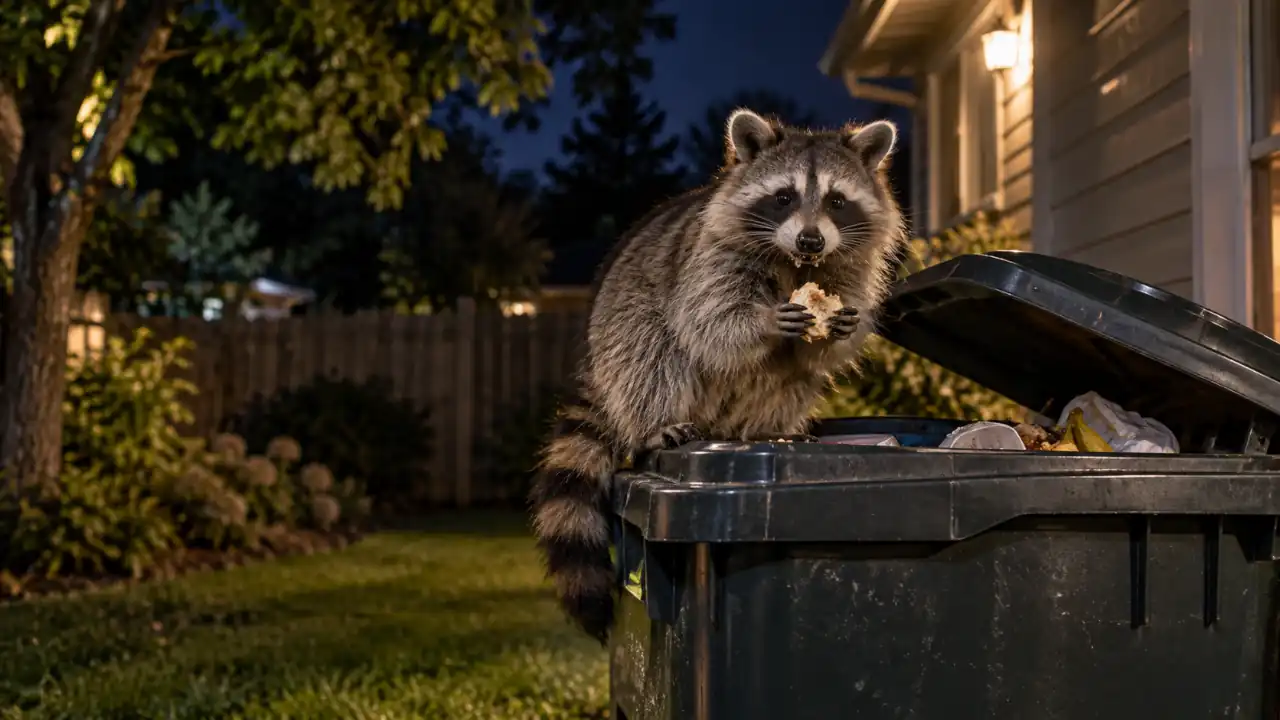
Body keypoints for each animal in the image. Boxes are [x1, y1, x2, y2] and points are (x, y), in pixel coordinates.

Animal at [530, 109, 905, 643]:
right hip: (621, 322)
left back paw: (764, 428)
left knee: (790, 380)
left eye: (837, 200)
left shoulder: (849, 268)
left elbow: (821, 353)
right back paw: (655, 423)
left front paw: (837, 330)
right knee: (652, 353)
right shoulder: (708, 258)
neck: (795, 261)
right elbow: (710, 322)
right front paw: (763, 322)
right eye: (784, 196)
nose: (811, 239)